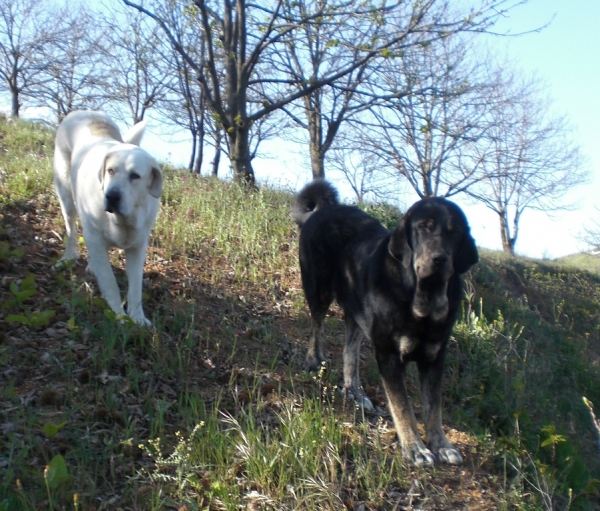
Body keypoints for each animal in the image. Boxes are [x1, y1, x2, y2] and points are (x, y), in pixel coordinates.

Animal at [52, 112, 162, 328]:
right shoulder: (95, 238)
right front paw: (119, 316)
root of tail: (82, 112)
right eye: (110, 171)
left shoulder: (138, 247)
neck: (123, 220)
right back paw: (68, 258)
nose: (111, 196)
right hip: (66, 197)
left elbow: (135, 286)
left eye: (135, 176)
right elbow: (110, 282)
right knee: (71, 231)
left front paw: (138, 317)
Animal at [292, 181, 478, 468]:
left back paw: (355, 392)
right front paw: (415, 448)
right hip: (319, 289)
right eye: (423, 227)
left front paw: (441, 445)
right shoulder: (389, 354)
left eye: (454, 231)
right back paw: (313, 360)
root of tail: (320, 212)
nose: (439, 259)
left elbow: (433, 408)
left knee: (350, 352)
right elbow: (402, 406)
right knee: (316, 326)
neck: (420, 296)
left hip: (357, 314)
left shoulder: (434, 357)